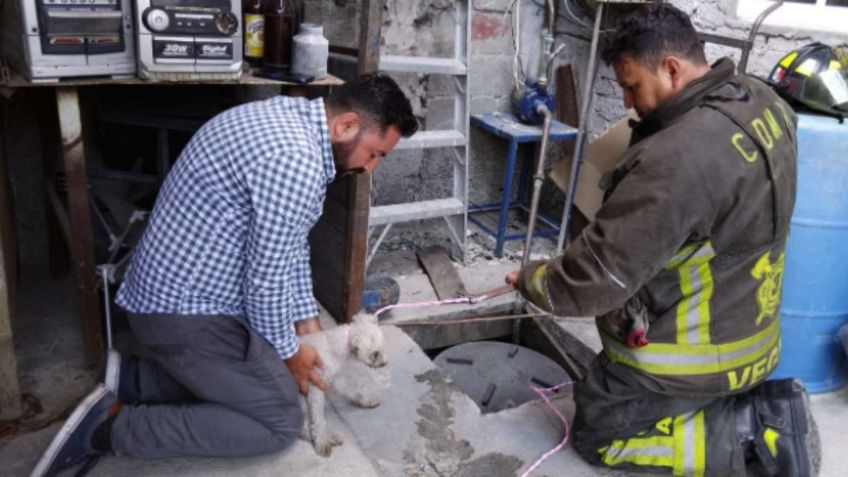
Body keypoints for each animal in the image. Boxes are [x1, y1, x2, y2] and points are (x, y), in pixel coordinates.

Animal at [298, 310, 388, 456]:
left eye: (382, 347)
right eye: (375, 354)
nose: (385, 363)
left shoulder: (336, 378)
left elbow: (352, 390)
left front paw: (365, 401)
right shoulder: (314, 387)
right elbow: (318, 419)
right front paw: (321, 442)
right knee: (302, 428)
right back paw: (326, 438)